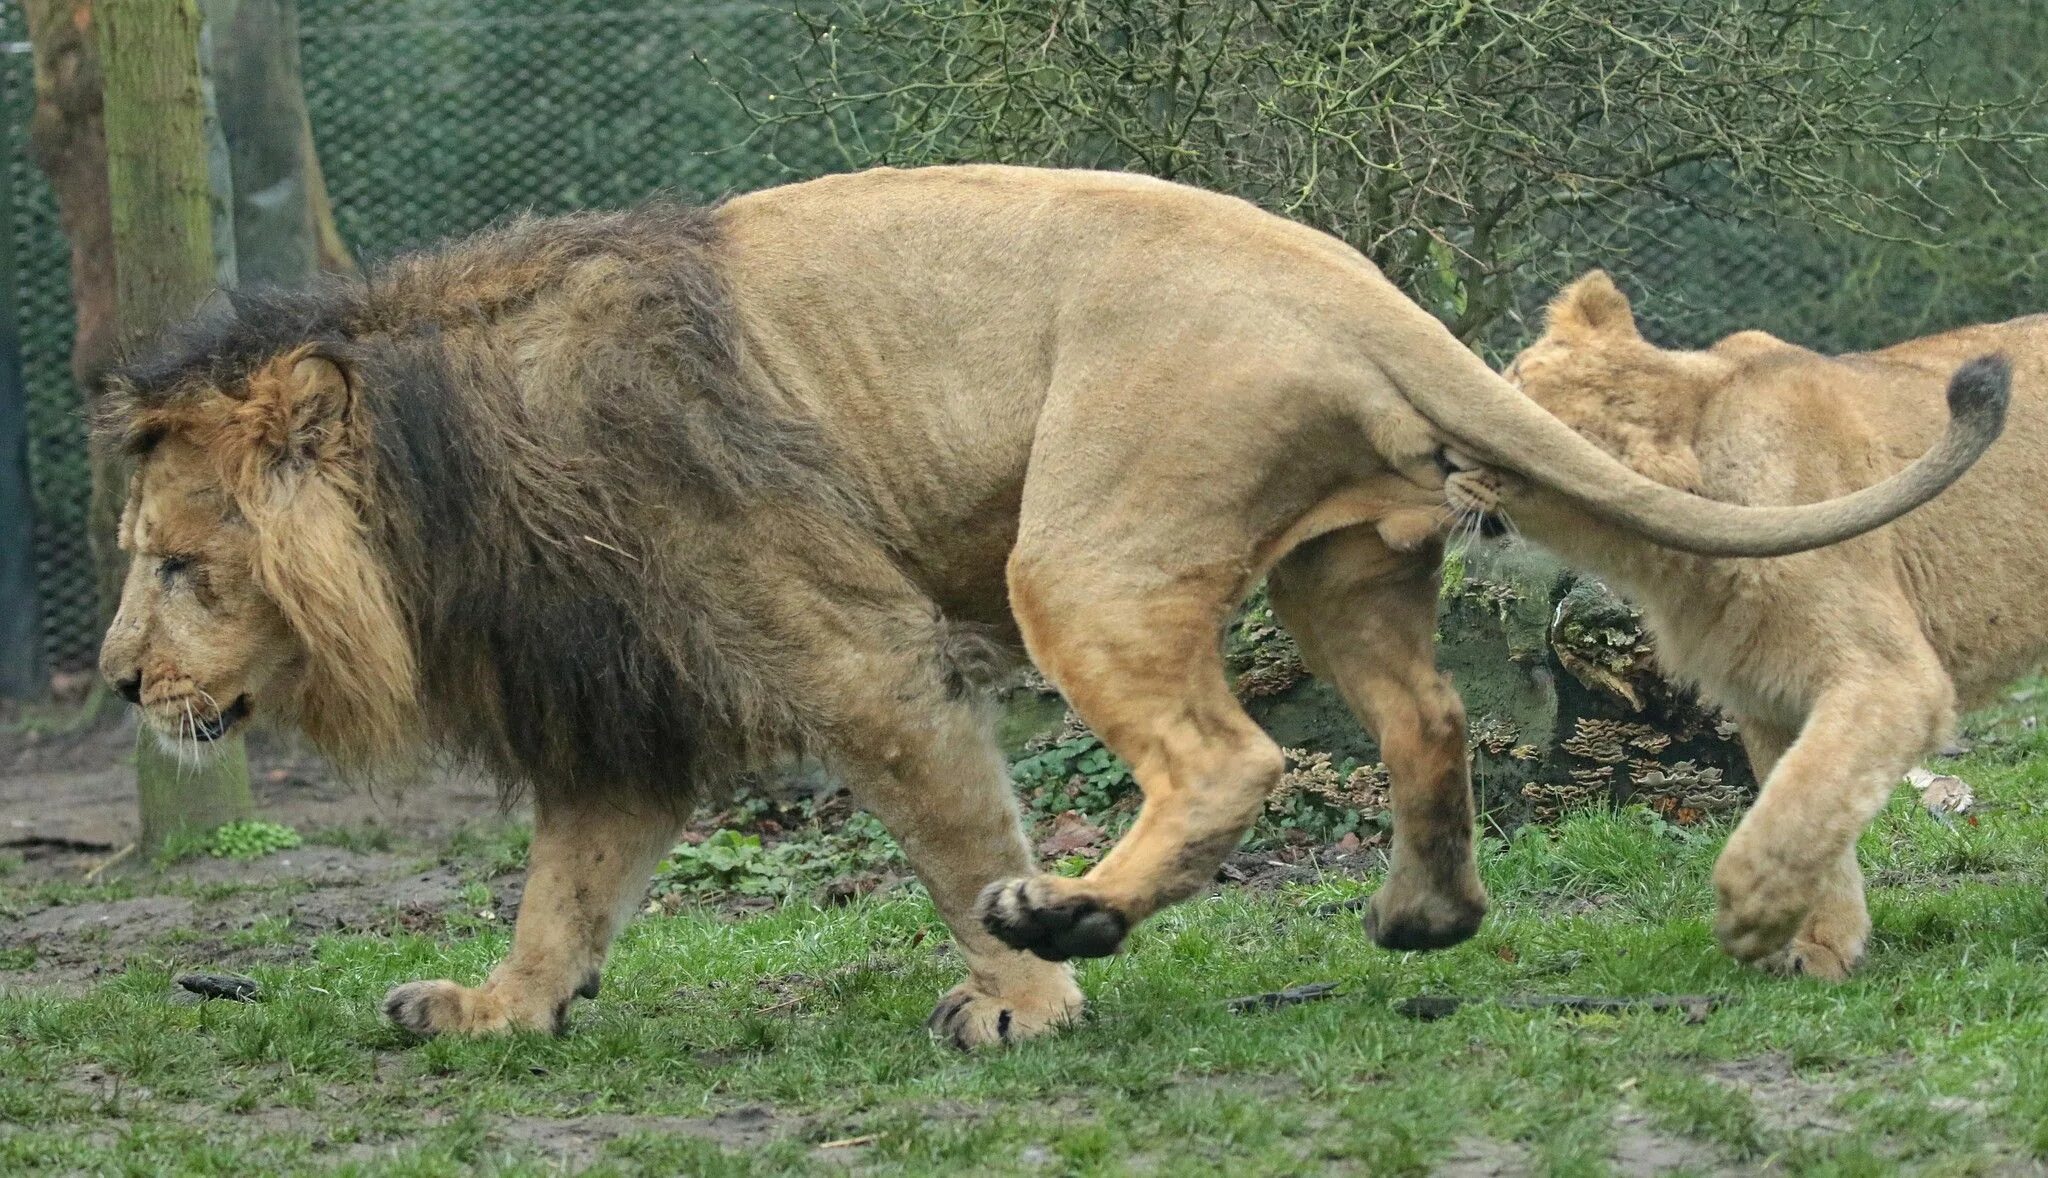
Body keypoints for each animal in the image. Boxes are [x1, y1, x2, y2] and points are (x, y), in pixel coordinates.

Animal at [1449, 274, 2023, 975]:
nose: (1441, 461)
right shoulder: (1771, 693)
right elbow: (1812, 804)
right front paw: (1817, 946)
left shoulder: (1893, 679)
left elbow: (1803, 800)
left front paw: (1750, 908)